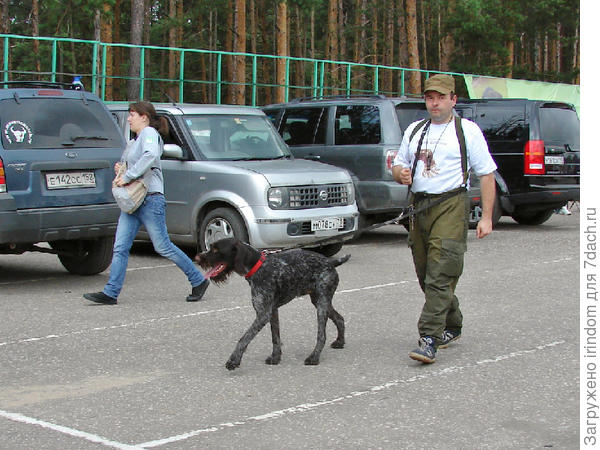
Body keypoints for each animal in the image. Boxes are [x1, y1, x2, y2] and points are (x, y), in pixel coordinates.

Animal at [195, 237, 350, 370]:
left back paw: (314, 357)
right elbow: (275, 337)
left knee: (321, 335)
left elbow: (244, 338)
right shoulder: (272, 311)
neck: (257, 267)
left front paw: (234, 360)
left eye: (216, 250)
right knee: (340, 318)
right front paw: (275, 358)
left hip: (322, 304)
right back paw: (340, 342)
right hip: (318, 301)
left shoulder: (263, 314)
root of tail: (331, 262)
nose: (197, 258)